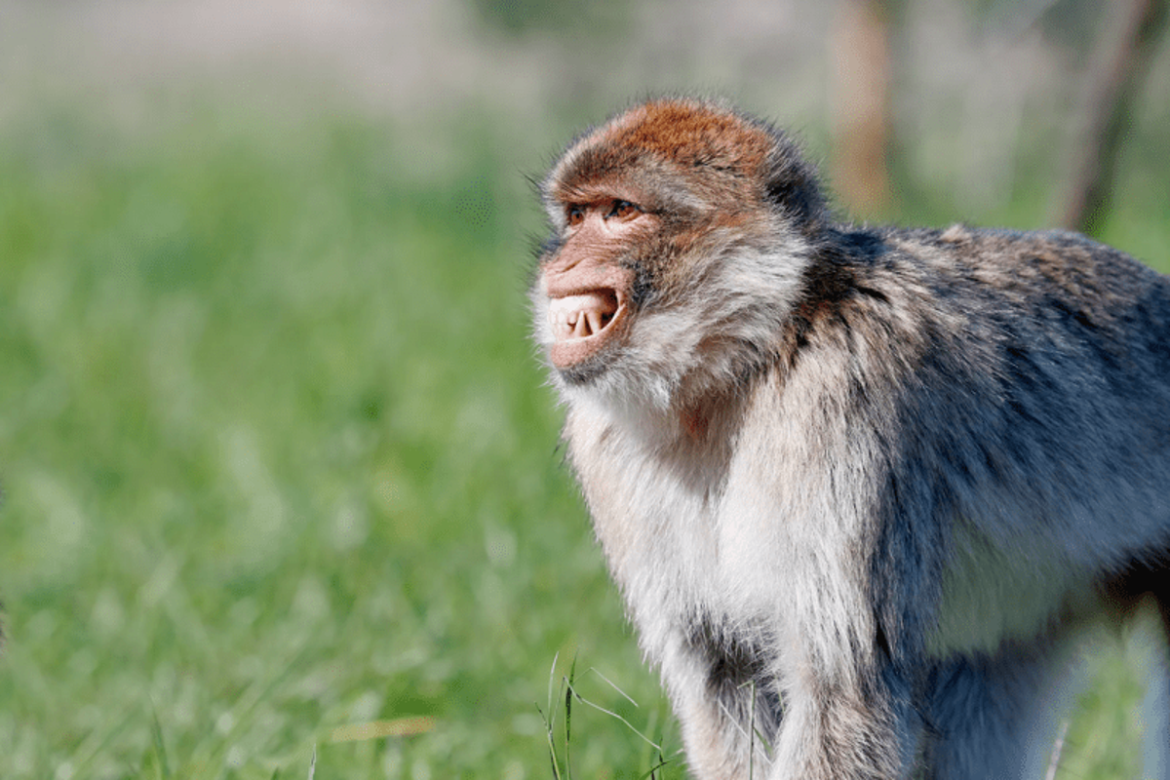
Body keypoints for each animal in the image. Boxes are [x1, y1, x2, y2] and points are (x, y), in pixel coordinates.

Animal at [528, 97, 1170, 780]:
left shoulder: (839, 408)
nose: (558, 260)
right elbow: (725, 675)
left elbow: (842, 683)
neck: (740, 365)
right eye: (576, 215)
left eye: (621, 211)